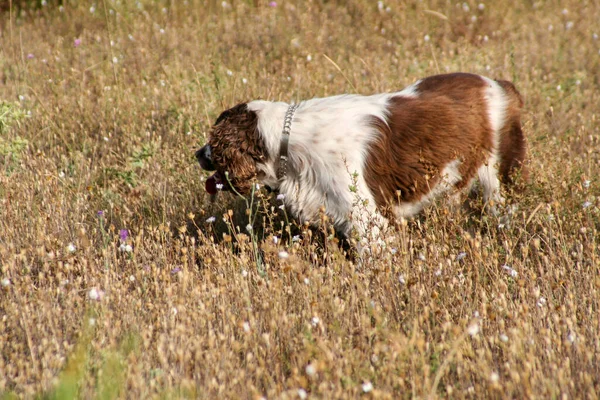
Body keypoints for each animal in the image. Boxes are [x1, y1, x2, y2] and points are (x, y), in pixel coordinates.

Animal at [196, 72, 524, 247]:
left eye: (213, 142)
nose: (198, 154)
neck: (287, 141)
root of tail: (499, 84)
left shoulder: (368, 220)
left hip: (498, 179)